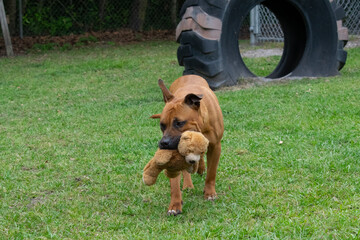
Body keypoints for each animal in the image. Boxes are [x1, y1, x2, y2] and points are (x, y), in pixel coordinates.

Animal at [150, 74, 224, 216]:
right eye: (162, 125)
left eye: (179, 123)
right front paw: (175, 204)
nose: (163, 143)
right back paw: (188, 184)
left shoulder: (216, 146)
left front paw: (210, 193)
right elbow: (174, 182)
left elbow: (211, 173)